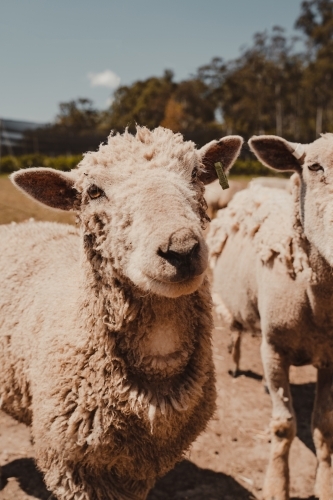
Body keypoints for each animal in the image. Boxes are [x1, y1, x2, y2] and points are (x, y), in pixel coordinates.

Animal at [0, 126, 244, 500]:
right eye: (93, 191)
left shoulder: (133, 471)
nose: (181, 249)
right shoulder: (74, 469)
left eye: (194, 174)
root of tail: (17, 225)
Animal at [208, 132, 333, 500]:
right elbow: (283, 427)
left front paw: (325, 484)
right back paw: (236, 364)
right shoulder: (275, 348)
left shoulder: (331, 359)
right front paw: (277, 485)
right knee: (236, 331)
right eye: (314, 167)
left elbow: (324, 427)